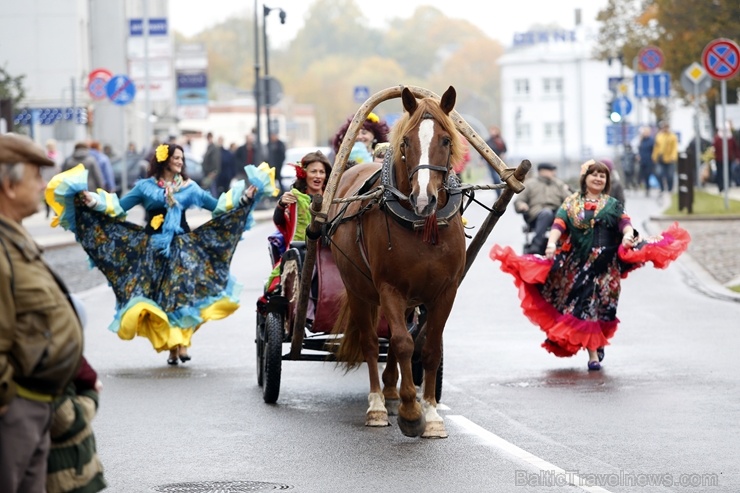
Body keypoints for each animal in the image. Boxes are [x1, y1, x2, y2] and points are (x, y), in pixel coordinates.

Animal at [328, 86, 466, 436]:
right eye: (406, 142)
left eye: (446, 140)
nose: (424, 199)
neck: (421, 227)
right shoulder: (389, 287)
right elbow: (404, 343)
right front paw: (410, 412)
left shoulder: (445, 292)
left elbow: (430, 348)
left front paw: (430, 413)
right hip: (359, 291)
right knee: (370, 342)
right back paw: (379, 403)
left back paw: (391, 390)